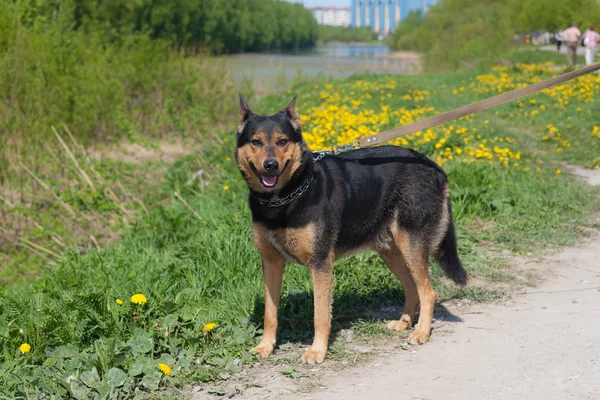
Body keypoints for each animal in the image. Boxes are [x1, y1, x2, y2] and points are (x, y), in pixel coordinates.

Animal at [234, 95, 468, 364]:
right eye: (256, 142)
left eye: (282, 141)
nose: (270, 165)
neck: (286, 196)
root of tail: (434, 166)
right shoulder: (271, 262)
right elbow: (270, 314)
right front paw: (266, 346)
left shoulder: (320, 265)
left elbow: (320, 316)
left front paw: (317, 351)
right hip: (391, 252)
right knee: (412, 287)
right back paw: (404, 323)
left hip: (411, 245)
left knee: (428, 292)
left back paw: (421, 333)